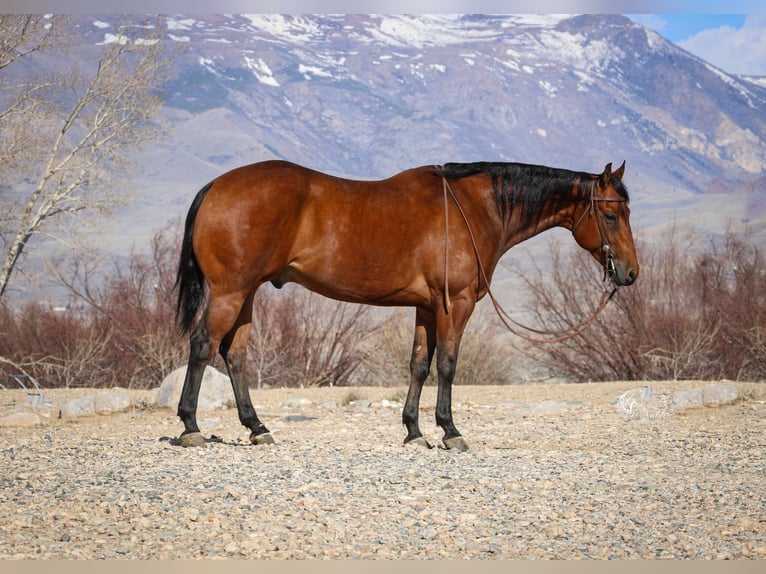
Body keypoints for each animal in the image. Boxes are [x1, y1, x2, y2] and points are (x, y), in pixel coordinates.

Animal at [174, 160, 638, 450]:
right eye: (611, 215)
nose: (630, 273)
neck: (473, 208)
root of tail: (215, 187)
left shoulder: (427, 308)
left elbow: (419, 364)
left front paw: (414, 431)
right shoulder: (456, 305)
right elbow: (447, 365)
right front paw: (450, 430)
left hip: (246, 294)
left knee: (234, 354)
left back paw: (257, 427)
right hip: (230, 292)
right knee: (202, 345)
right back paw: (191, 427)